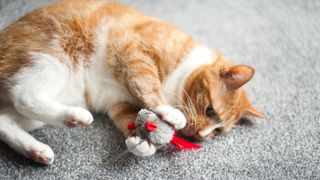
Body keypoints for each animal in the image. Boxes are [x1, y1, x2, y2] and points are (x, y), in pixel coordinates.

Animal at [0, 0, 262, 165]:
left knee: (5, 122)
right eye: (209, 110)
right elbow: (148, 86)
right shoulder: (135, 53)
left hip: (46, 102)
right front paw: (169, 113)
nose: (200, 135)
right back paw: (75, 117)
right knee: (24, 96)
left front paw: (141, 142)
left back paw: (37, 151)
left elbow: (129, 118)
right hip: (50, 60)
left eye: (216, 132)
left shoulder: (118, 103)